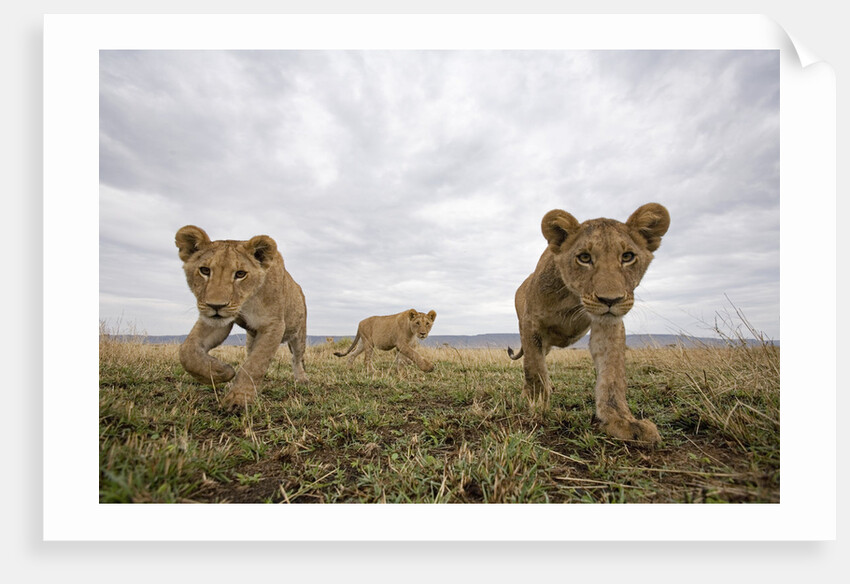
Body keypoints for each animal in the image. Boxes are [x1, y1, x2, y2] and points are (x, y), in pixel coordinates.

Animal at [175, 225, 309, 410]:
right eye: (205, 270)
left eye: (240, 274)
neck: (246, 301)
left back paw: (301, 379)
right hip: (251, 337)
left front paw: (238, 399)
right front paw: (220, 371)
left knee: (296, 358)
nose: (216, 306)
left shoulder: (274, 325)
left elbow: (256, 363)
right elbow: (187, 351)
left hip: (299, 334)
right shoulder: (217, 321)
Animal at [507, 203, 670, 444]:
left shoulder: (609, 323)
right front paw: (536, 403)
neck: (573, 298)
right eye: (584, 257)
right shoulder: (531, 323)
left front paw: (621, 421)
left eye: (627, 256)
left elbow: (612, 374)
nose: (610, 300)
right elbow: (534, 369)